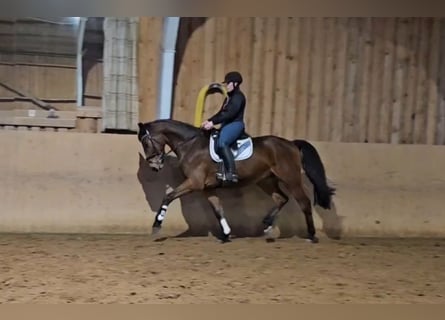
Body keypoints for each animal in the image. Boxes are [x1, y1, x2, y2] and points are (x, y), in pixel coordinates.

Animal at [137, 119, 334, 242]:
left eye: (146, 142)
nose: (154, 166)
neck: (191, 145)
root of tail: (291, 143)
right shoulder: (207, 188)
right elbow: (217, 209)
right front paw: (226, 234)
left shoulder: (194, 183)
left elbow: (168, 197)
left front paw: (156, 225)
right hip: (266, 180)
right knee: (281, 198)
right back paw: (267, 225)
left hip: (291, 178)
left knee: (304, 202)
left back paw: (311, 235)